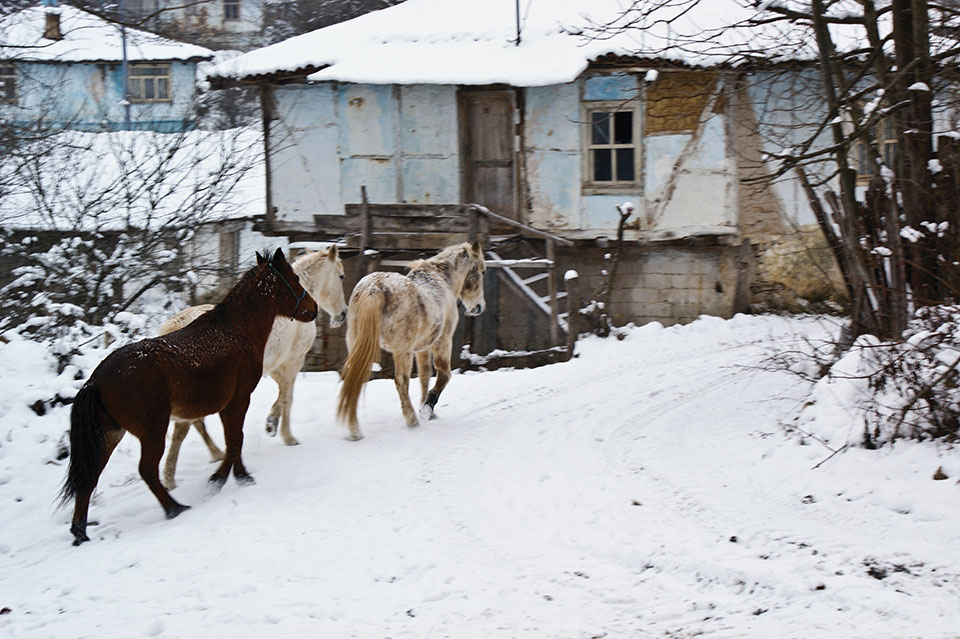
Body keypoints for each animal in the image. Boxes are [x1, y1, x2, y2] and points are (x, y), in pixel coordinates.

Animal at [59, 248, 319, 546]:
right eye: (295, 279)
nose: (314, 309)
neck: (236, 332)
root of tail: (97, 379)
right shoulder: (238, 401)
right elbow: (234, 442)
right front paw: (218, 480)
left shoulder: (228, 406)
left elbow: (234, 441)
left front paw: (242, 476)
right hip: (152, 431)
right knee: (146, 470)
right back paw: (175, 508)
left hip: (110, 434)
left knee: (90, 476)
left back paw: (80, 532)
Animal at [157, 246, 348, 490]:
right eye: (340, 276)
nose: (342, 314)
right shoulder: (292, 361)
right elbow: (288, 397)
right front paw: (288, 436)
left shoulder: (273, 366)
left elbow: (281, 394)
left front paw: (271, 423)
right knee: (184, 429)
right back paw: (171, 479)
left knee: (195, 424)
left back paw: (214, 454)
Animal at [336, 241, 486, 441]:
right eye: (482, 271)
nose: (479, 307)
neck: (441, 280)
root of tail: (374, 288)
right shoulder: (442, 341)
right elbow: (444, 375)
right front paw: (426, 408)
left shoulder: (422, 348)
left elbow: (425, 375)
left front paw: (428, 411)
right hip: (402, 351)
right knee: (401, 381)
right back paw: (412, 420)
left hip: (359, 345)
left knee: (355, 380)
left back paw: (354, 430)